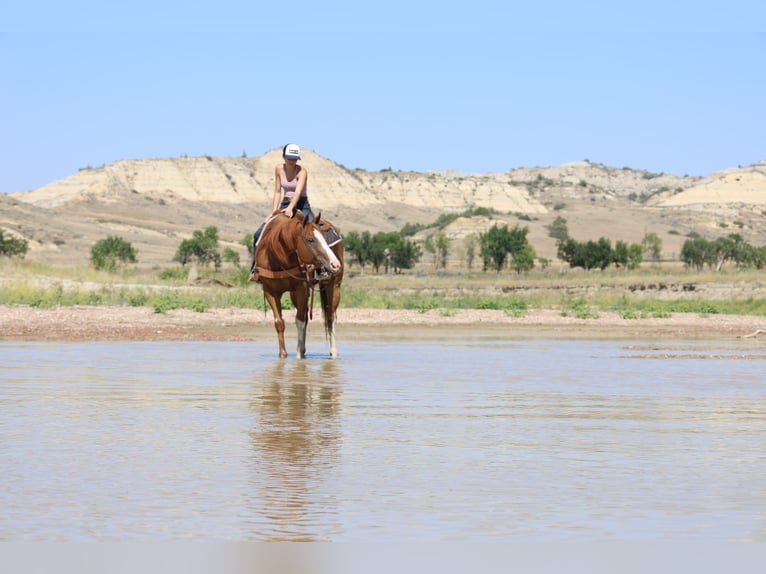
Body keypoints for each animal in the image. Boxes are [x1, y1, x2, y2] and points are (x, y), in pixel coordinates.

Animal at [254, 212, 343, 359]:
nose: (335, 264)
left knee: (330, 316)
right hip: (294, 294)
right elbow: (279, 322)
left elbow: (300, 321)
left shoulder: (302, 288)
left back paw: (333, 352)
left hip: (334, 286)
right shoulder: (270, 291)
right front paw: (283, 355)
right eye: (311, 239)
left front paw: (298, 356)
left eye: (323, 238)